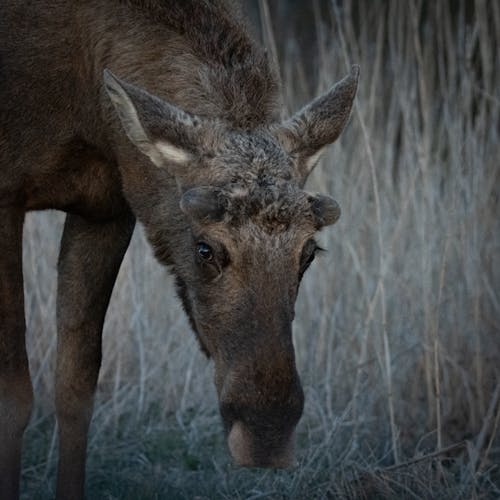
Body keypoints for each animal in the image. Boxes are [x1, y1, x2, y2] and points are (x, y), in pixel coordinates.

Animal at [0, 0, 360, 498]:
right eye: (205, 248)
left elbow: (76, 386)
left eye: (308, 253)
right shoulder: (6, 193)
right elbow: (13, 396)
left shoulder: (107, 209)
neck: (87, 114)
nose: (267, 437)